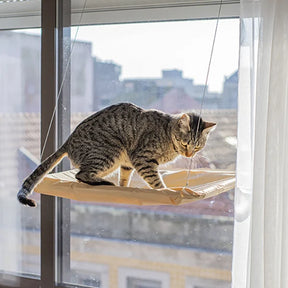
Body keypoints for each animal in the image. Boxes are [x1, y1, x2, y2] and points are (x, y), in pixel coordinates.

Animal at [16, 103, 215, 207]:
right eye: (185, 143)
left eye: (197, 147)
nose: (189, 154)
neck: (167, 134)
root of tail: (67, 141)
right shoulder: (142, 158)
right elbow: (155, 181)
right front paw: (164, 191)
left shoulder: (128, 162)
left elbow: (125, 177)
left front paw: (124, 189)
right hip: (111, 151)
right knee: (81, 174)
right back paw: (103, 183)